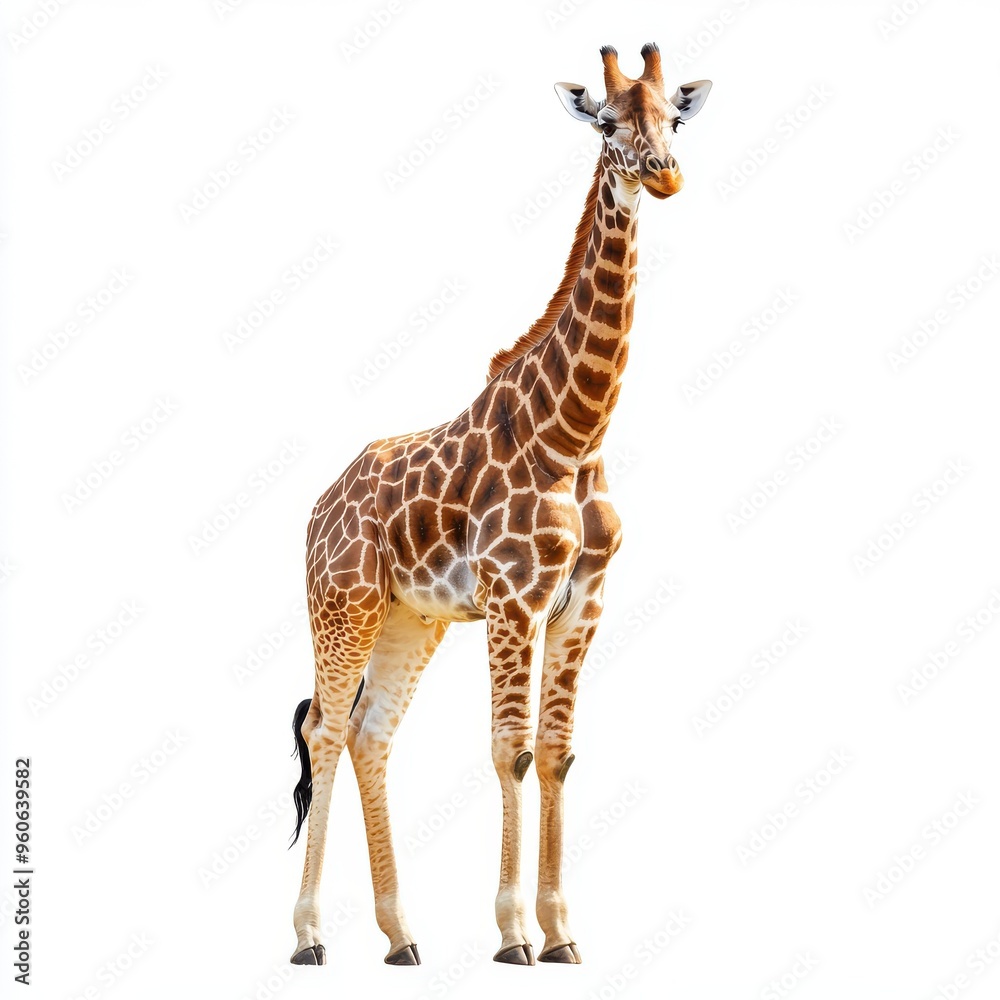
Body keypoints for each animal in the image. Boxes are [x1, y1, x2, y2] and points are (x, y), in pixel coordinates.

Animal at [288, 43, 711, 967]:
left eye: (674, 117)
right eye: (608, 124)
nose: (665, 177)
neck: (576, 435)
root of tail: (318, 509)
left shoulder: (582, 601)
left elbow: (555, 753)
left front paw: (562, 934)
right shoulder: (515, 596)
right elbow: (510, 752)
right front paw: (515, 932)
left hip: (413, 618)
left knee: (372, 733)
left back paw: (401, 937)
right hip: (344, 603)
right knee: (324, 731)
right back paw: (308, 937)